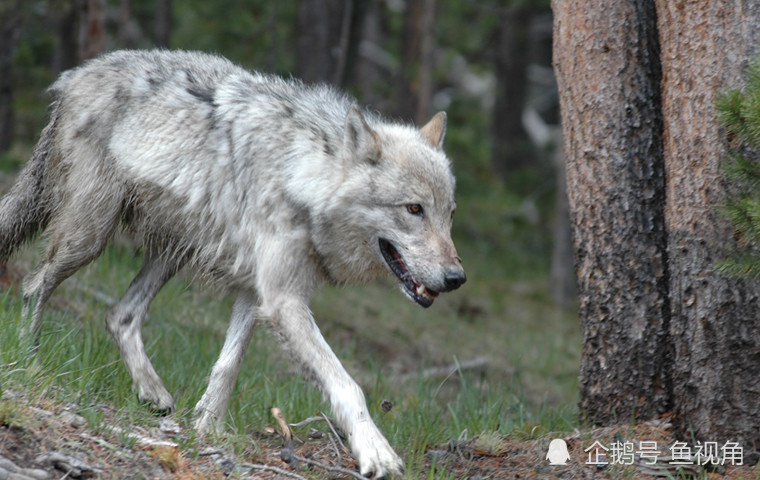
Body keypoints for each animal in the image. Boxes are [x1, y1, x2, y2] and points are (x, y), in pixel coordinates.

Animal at [0, 48, 466, 476]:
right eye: (414, 209)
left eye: (449, 215)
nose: (457, 277)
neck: (301, 174)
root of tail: (77, 74)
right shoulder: (283, 299)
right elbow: (347, 385)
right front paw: (377, 454)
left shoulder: (254, 292)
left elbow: (228, 366)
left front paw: (208, 430)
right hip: (90, 236)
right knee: (34, 286)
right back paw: (30, 361)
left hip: (171, 253)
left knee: (120, 314)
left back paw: (153, 393)